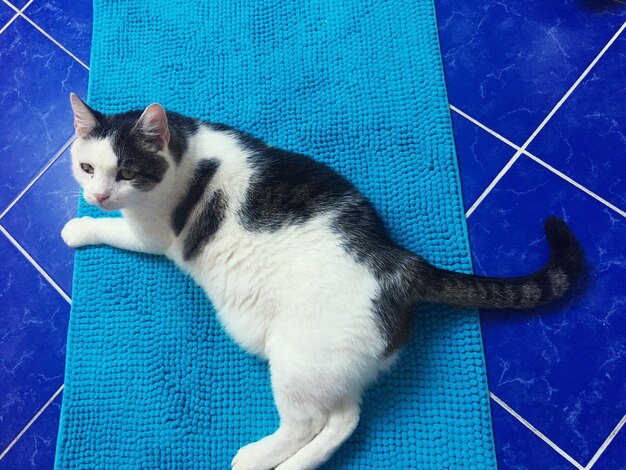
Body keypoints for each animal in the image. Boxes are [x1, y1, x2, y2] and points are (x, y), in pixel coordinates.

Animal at [62, 94, 580, 470]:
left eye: (126, 172)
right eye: (87, 168)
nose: (98, 194)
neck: (184, 149)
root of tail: (404, 264)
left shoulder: (150, 235)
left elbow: (110, 229)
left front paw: (77, 227)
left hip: (298, 359)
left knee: (309, 423)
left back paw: (256, 459)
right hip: (331, 365)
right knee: (343, 420)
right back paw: (296, 466)